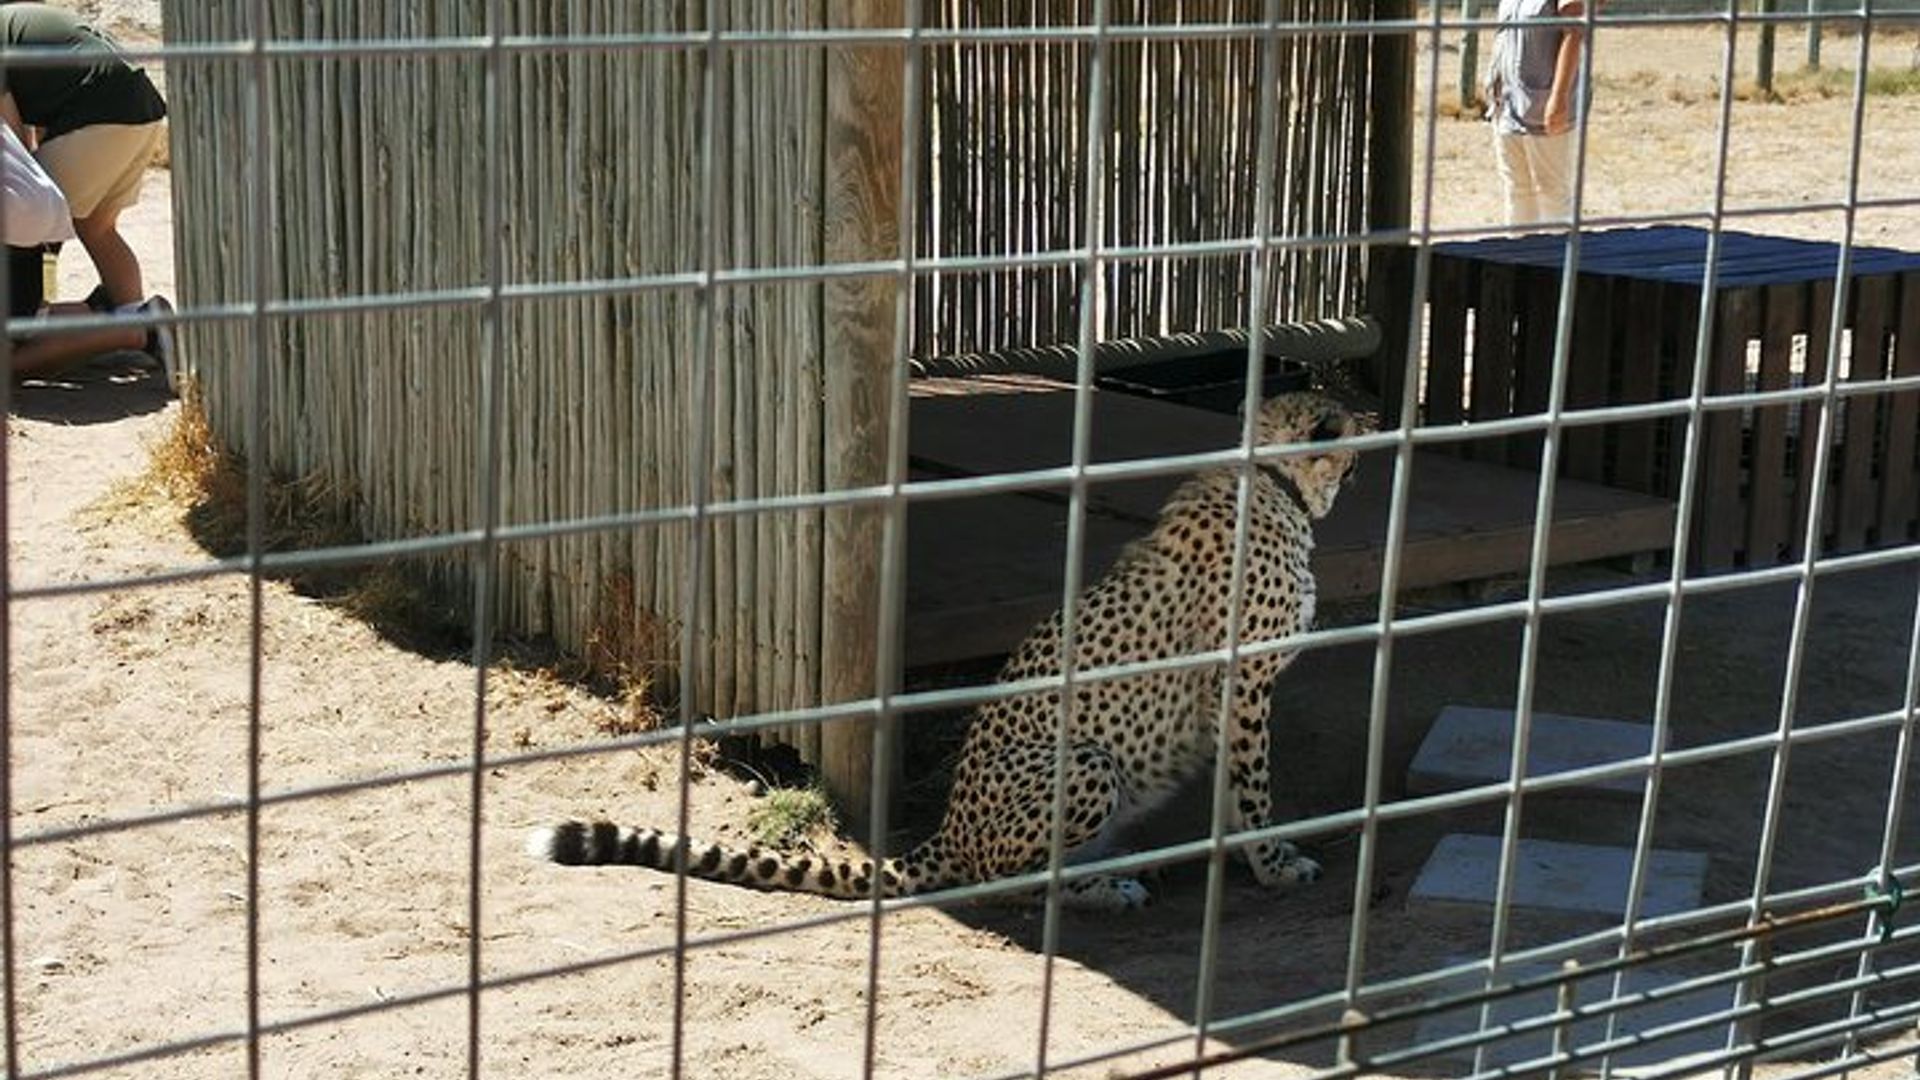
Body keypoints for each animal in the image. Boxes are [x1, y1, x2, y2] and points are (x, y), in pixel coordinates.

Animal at [529, 391, 1366, 912]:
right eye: (1342, 420)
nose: (1373, 416)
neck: (1277, 484)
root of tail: (949, 828)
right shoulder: (1241, 684)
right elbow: (1253, 792)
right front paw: (1274, 866)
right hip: (1085, 763)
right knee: (1004, 883)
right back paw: (1102, 889)